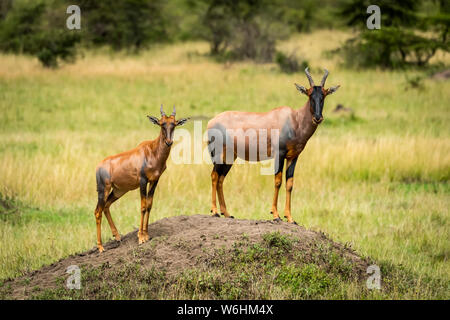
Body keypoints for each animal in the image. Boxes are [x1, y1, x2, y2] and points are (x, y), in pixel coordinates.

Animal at [94, 106, 187, 251]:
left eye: (174, 123)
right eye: (161, 124)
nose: (169, 142)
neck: (152, 151)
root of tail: (99, 166)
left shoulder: (154, 181)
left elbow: (149, 205)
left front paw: (146, 234)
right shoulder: (143, 181)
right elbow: (143, 206)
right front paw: (141, 237)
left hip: (118, 191)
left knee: (106, 206)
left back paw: (117, 236)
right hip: (103, 189)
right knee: (97, 211)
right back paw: (100, 247)